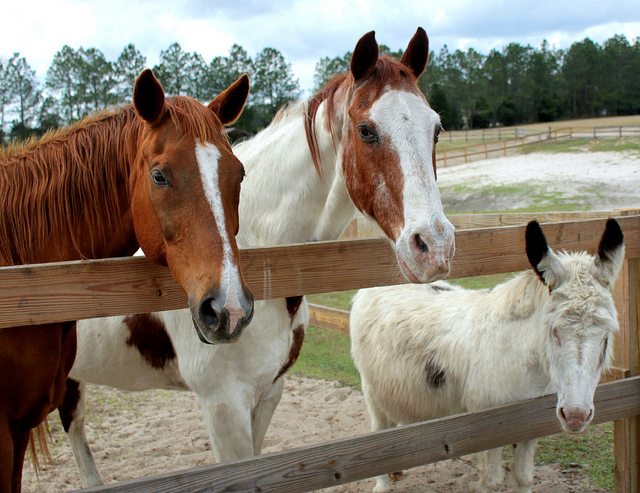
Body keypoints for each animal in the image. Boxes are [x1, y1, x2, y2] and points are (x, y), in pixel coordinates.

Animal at [60, 28, 456, 488]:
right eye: (366, 130)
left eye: (436, 130)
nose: (434, 245)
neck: (256, 251)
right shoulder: (223, 405)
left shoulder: (268, 392)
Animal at [349, 219, 624, 493]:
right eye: (553, 331)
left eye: (606, 337)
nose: (576, 417)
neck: (520, 359)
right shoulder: (487, 425)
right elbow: (491, 482)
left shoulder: (529, 424)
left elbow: (524, 477)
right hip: (372, 390)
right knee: (379, 431)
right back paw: (382, 484)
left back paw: (395, 470)